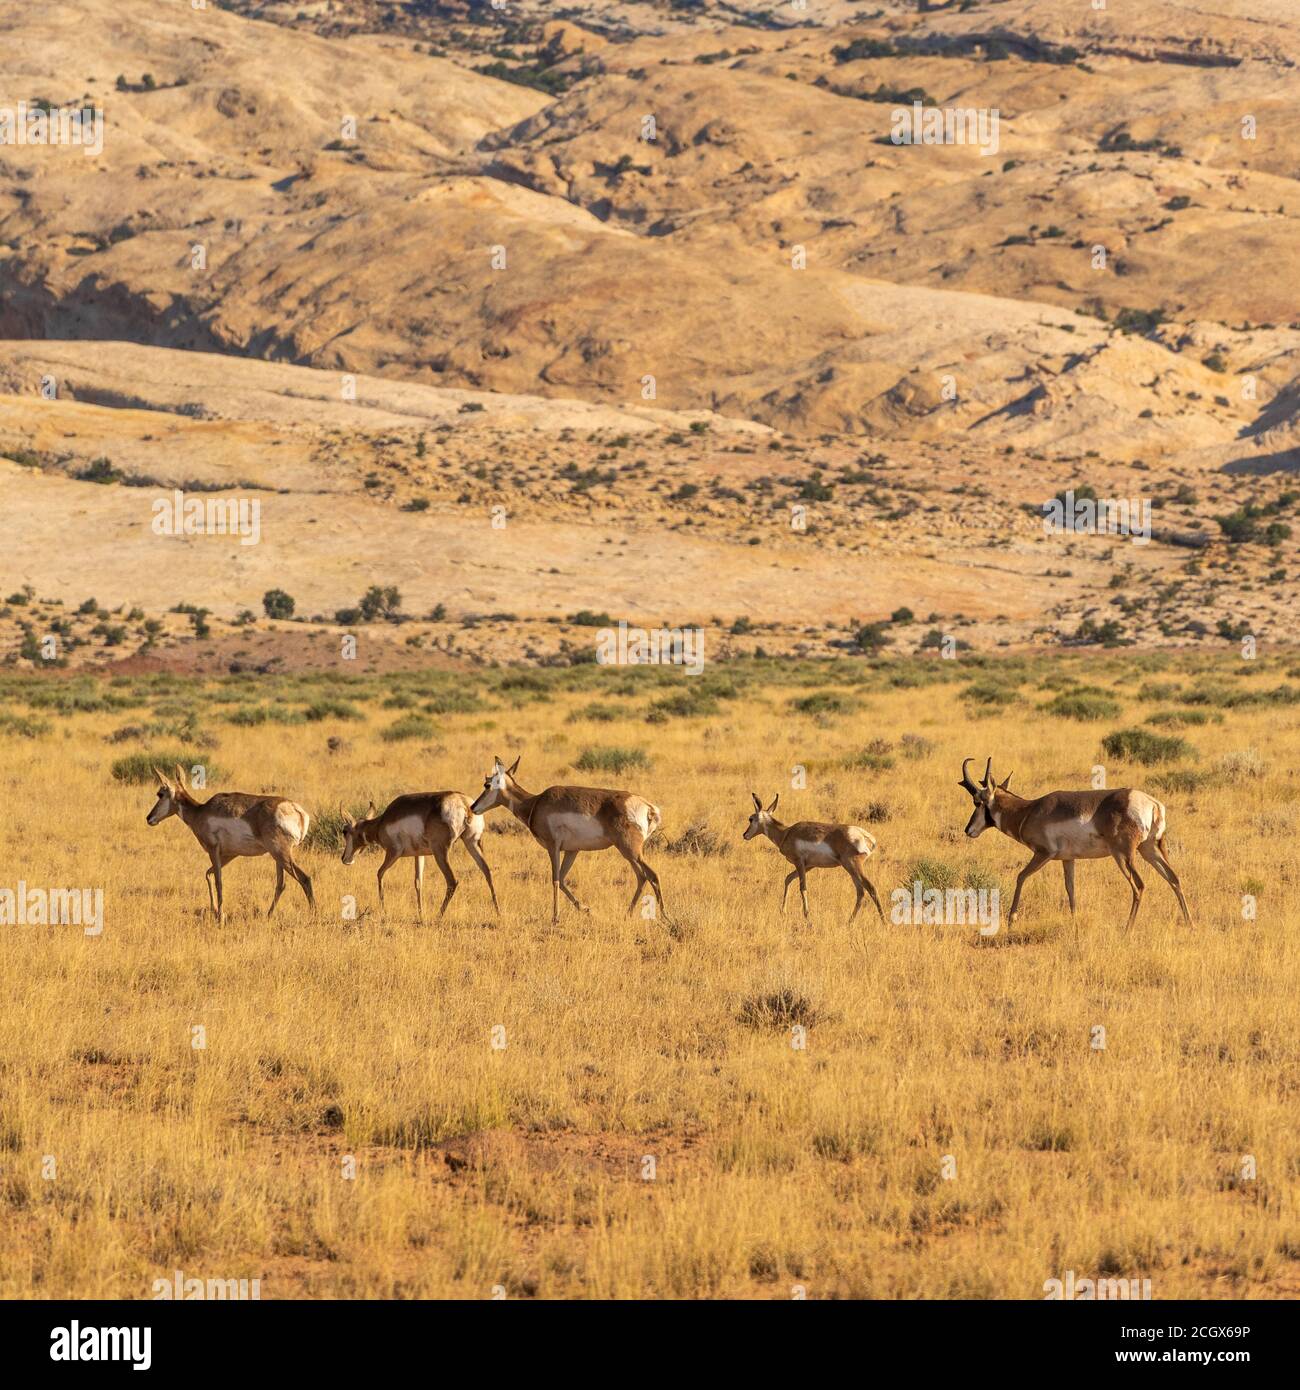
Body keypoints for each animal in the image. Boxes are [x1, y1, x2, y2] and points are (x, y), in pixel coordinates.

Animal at [145, 765, 314, 922]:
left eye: (160, 794)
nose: (149, 818)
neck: (200, 811)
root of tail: (296, 810)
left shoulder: (213, 851)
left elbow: (218, 882)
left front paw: (220, 915)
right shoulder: (230, 855)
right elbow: (208, 874)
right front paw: (215, 911)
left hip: (281, 855)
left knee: (305, 878)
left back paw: (313, 916)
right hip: (278, 858)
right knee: (280, 884)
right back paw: (268, 915)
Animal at [340, 793, 498, 919]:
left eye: (344, 831)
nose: (344, 859)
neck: (382, 822)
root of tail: (463, 802)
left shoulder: (393, 853)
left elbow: (379, 873)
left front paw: (384, 911)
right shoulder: (419, 855)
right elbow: (418, 882)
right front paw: (421, 914)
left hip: (440, 853)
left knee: (452, 881)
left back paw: (438, 916)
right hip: (472, 843)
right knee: (487, 872)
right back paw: (498, 912)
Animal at [470, 755, 663, 924]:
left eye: (487, 784)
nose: (473, 807)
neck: (535, 803)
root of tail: (648, 807)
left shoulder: (553, 847)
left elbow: (555, 880)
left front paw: (555, 918)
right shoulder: (572, 851)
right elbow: (563, 880)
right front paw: (586, 910)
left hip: (630, 851)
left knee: (652, 875)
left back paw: (665, 917)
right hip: (630, 854)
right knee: (642, 877)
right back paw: (627, 914)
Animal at [742, 793, 884, 923]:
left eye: (750, 818)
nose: (744, 835)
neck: (786, 833)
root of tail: (864, 835)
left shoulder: (799, 863)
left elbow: (803, 888)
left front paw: (807, 917)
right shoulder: (808, 866)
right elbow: (788, 879)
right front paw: (783, 911)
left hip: (852, 866)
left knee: (871, 888)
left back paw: (883, 921)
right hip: (851, 870)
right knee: (861, 892)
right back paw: (849, 921)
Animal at [958, 757, 1191, 930]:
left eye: (977, 802)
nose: (968, 830)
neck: (1030, 811)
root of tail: (1152, 803)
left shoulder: (1043, 854)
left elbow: (1021, 876)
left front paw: (1011, 920)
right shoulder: (1068, 859)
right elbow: (1070, 889)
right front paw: (1074, 923)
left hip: (1124, 856)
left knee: (1139, 886)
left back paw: (1128, 930)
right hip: (1150, 850)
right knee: (1174, 879)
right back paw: (1191, 925)